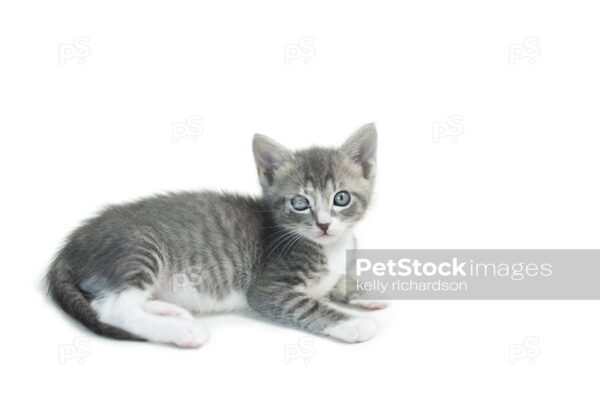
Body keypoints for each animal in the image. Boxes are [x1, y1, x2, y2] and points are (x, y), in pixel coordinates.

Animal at [45, 122, 384, 346]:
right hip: (138, 247)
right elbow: (308, 305)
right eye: (300, 203)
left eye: (341, 198)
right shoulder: (268, 288)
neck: (331, 246)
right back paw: (183, 331)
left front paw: (363, 291)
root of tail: (70, 244)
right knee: (111, 309)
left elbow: (339, 282)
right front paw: (355, 323)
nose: (324, 225)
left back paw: (169, 310)